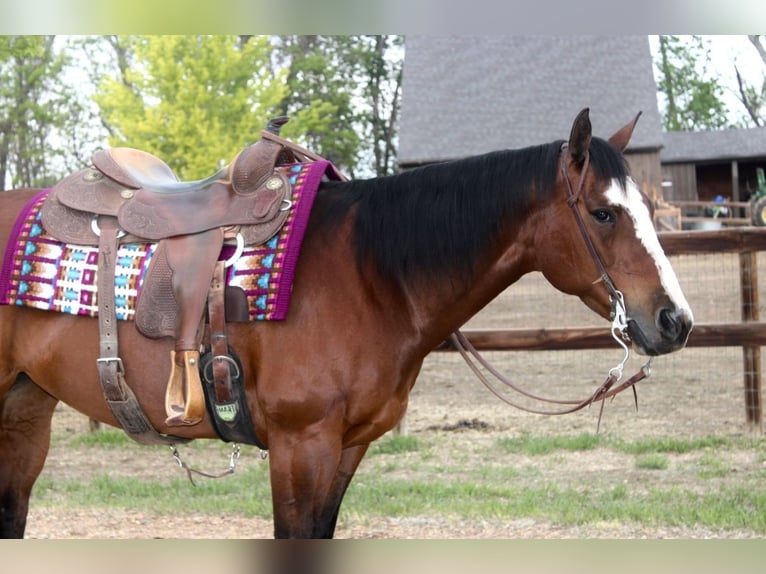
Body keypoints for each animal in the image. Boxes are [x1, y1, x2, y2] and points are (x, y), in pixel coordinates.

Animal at [0, 108, 693, 538]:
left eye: (649, 205)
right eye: (603, 213)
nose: (675, 320)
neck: (368, 277)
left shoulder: (346, 449)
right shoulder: (299, 447)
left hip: (25, 411)